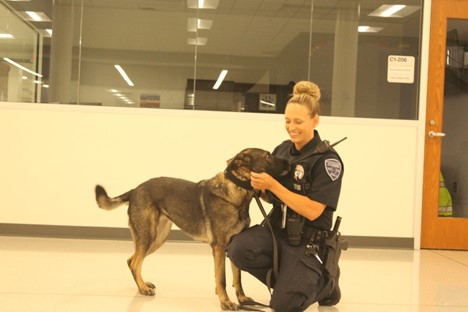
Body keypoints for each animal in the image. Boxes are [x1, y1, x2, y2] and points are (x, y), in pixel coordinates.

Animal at [94, 148, 288, 310]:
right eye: (268, 156)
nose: (289, 162)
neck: (237, 189)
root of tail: (134, 190)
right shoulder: (219, 248)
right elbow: (222, 280)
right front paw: (225, 302)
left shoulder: (232, 245)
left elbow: (237, 277)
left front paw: (242, 298)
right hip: (149, 236)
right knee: (135, 262)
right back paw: (143, 288)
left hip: (158, 238)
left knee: (131, 260)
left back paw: (143, 284)